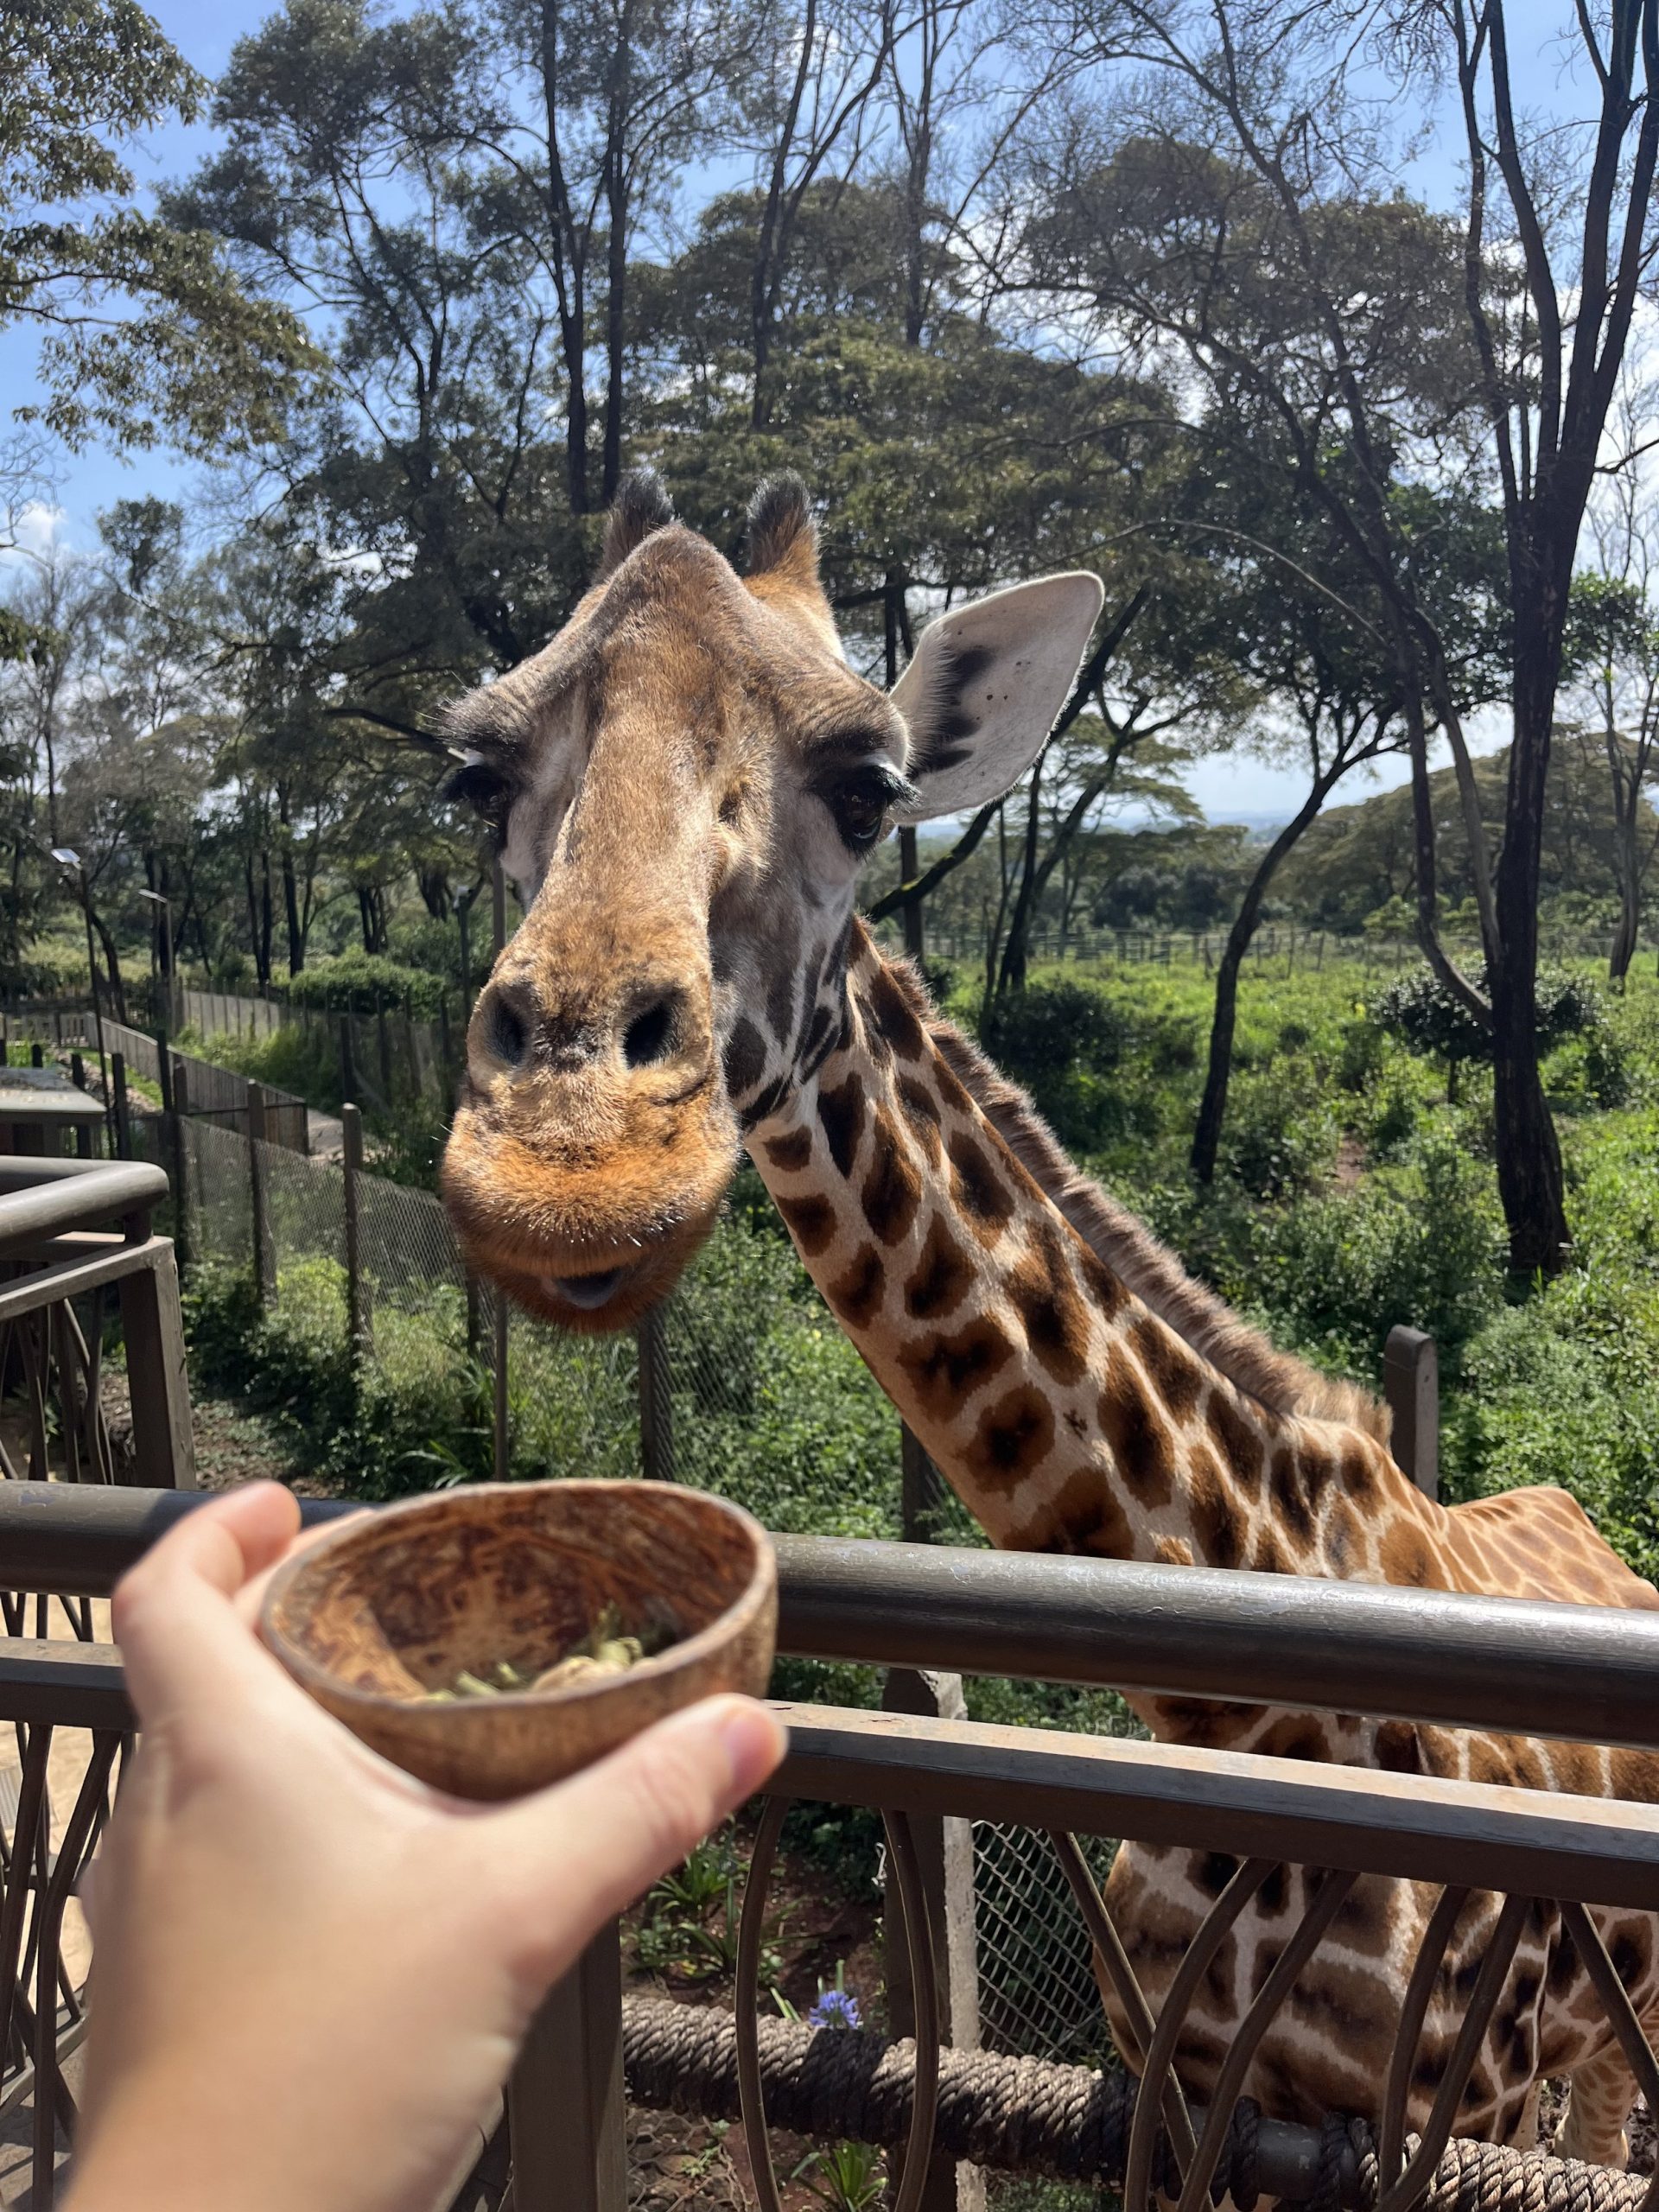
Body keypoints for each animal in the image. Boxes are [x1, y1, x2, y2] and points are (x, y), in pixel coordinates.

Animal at [440, 472, 1659, 2165]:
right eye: (471, 776)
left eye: (871, 786)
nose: (571, 1166)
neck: (1240, 1714)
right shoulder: (1177, 2091)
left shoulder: (1434, 2111)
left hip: (1598, 2037)